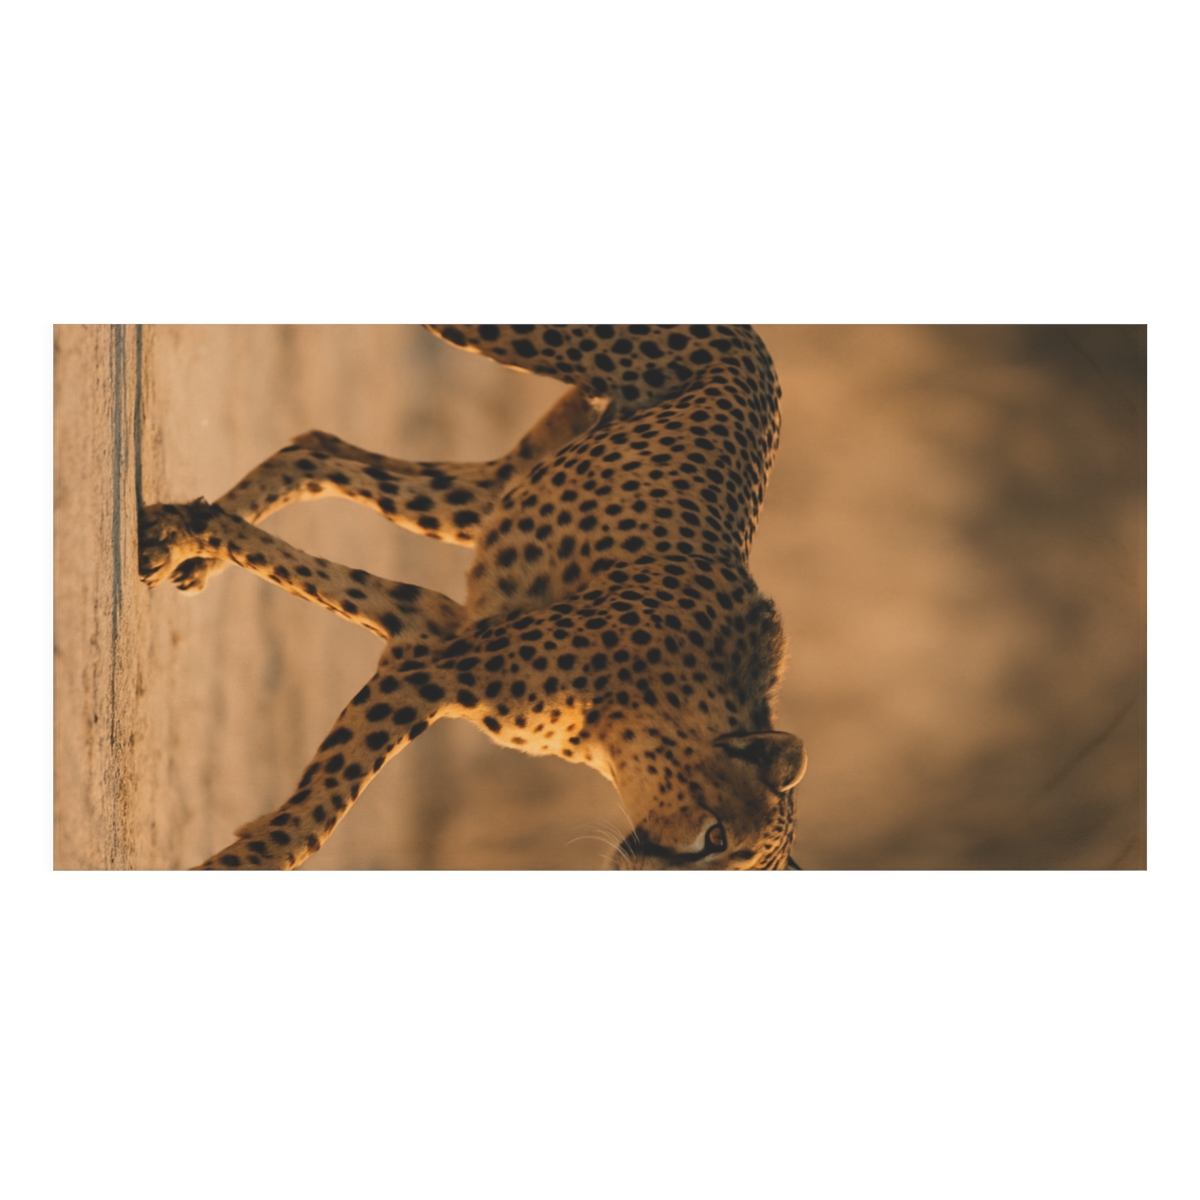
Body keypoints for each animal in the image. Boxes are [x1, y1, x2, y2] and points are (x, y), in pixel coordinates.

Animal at [138, 324, 808, 869]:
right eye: (718, 837)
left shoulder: (429, 630)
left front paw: (184, 532)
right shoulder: (435, 668)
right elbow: (316, 819)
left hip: (481, 496)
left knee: (317, 448)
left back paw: (194, 555)